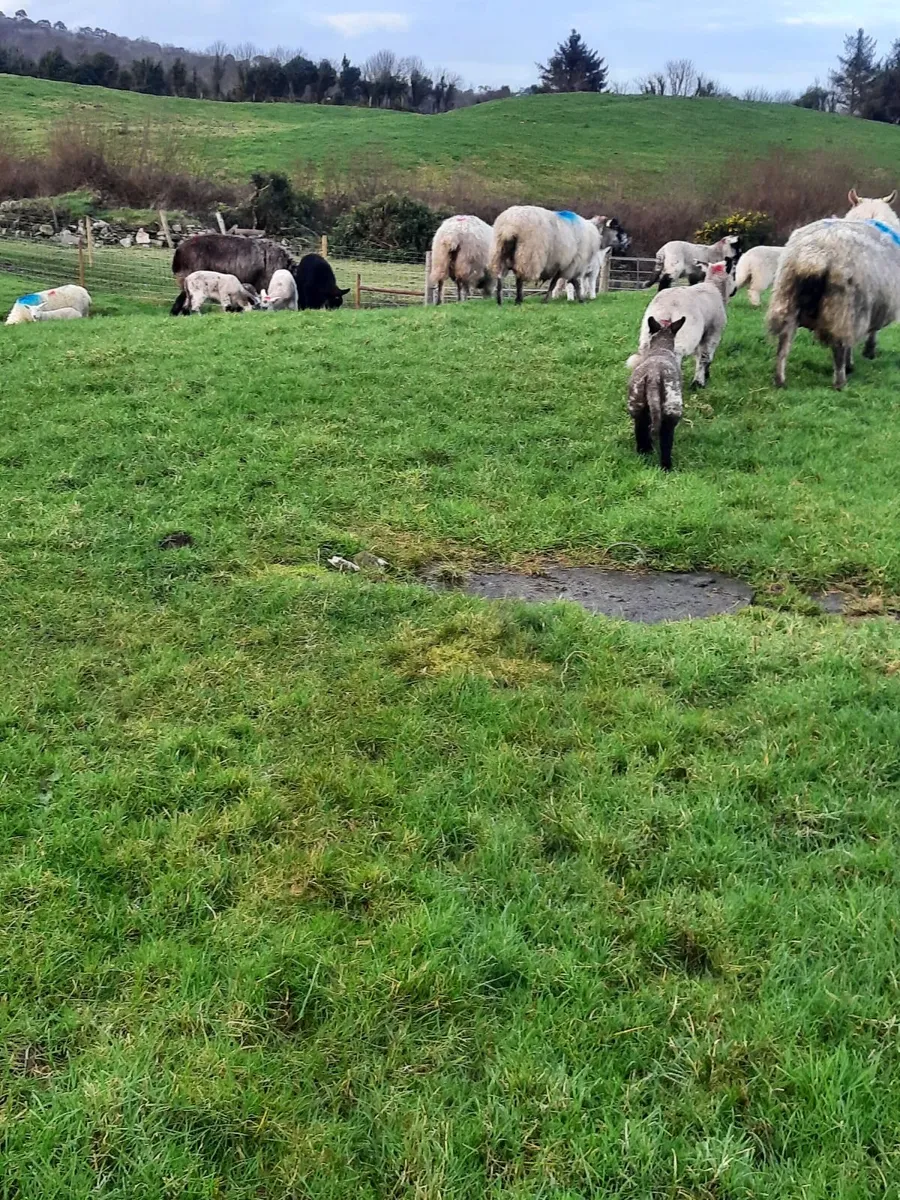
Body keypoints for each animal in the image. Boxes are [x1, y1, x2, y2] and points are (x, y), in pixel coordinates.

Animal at [627, 315, 687, 472]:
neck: (661, 347)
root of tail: (653, 376)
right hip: (672, 405)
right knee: (666, 439)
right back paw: (666, 468)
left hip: (636, 403)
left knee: (641, 430)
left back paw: (645, 453)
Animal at [768, 216, 900, 391]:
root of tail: (814, 254)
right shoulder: (867, 308)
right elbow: (868, 334)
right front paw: (865, 354)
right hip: (840, 305)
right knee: (839, 345)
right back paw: (840, 382)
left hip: (786, 295)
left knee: (783, 343)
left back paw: (780, 380)